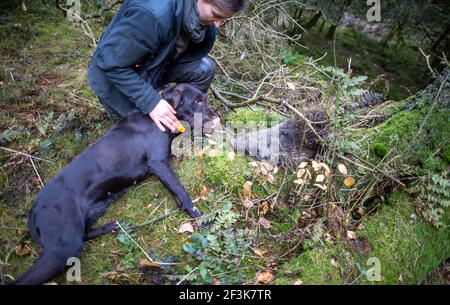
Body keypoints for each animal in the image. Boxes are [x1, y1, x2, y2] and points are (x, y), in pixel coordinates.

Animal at [13, 82, 219, 282]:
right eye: (197, 101)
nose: (217, 119)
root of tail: (34, 209)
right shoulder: (158, 163)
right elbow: (182, 193)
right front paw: (201, 217)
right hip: (61, 247)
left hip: (93, 213)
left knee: (86, 233)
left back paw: (113, 226)